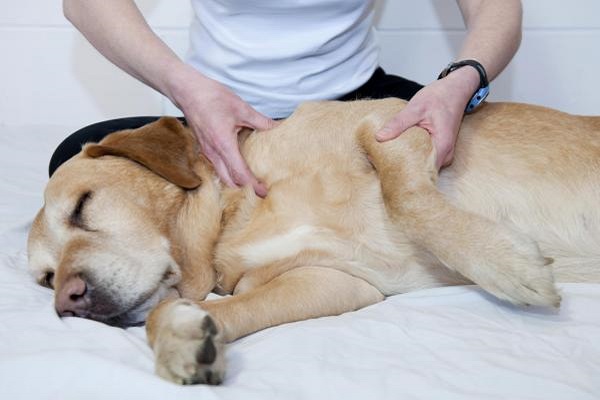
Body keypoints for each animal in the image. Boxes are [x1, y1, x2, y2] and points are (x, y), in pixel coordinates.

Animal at [27, 97, 600, 384]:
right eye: (46, 279)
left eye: (82, 205)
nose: (67, 302)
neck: (237, 215)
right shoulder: (334, 282)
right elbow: (182, 312)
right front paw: (181, 341)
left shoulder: (391, 122)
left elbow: (407, 199)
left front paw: (506, 265)